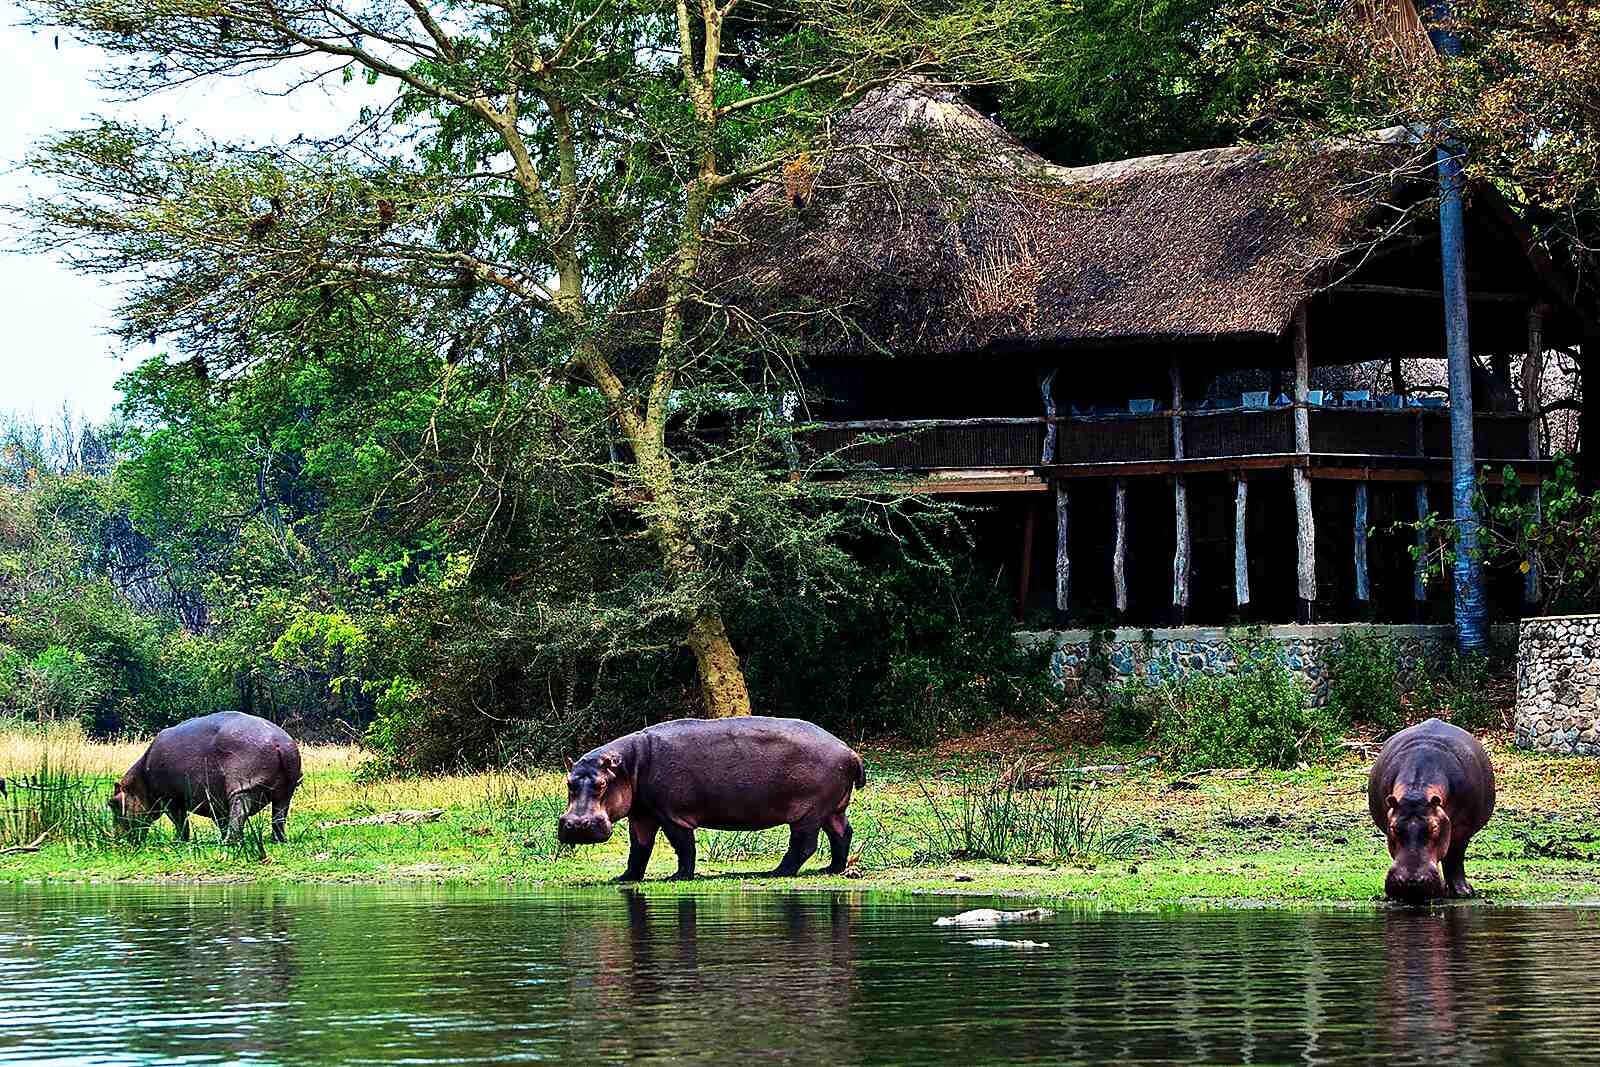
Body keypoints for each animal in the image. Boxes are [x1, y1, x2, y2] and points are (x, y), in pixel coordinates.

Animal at [110, 712, 303, 843]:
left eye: (112, 803)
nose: (116, 839)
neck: (140, 781)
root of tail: (281, 743)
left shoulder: (170, 800)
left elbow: (180, 822)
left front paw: (179, 842)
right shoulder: (216, 801)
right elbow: (220, 821)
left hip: (242, 787)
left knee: (239, 812)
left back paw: (228, 842)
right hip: (286, 791)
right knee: (279, 815)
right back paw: (277, 840)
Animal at [557, 716, 866, 881]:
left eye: (601, 784)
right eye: (569, 783)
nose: (577, 826)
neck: (628, 767)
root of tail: (849, 751)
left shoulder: (672, 815)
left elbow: (683, 847)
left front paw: (678, 877)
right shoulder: (643, 814)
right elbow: (639, 849)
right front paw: (624, 877)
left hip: (808, 812)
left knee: (804, 844)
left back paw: (773, 872)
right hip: (832, 809)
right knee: (842, 833)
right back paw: (831, 869)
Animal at [1367, 718, 1496, 903]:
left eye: (1434, 827)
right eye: (1393, 828)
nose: (1411, 883)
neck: (1417, 790)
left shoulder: (1462, 829)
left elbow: (1455, 858)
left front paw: (1463, 892)